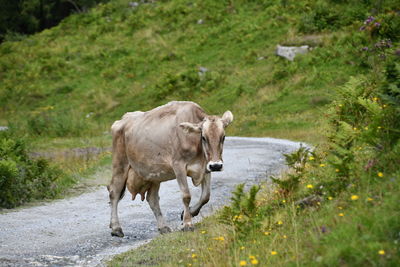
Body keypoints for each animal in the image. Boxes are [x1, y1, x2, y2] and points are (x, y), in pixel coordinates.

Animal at [106, 101, 233, 238]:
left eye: (223, 137)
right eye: (204, 137)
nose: (216, 166)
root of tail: (122, 119)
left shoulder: (205, 167)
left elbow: (206, 196)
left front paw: (189, 213)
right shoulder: (179, 166)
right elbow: (186, 196)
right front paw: (187, 224)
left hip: (154, 174)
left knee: (152, 199)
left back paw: (163, 227)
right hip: (120, 165)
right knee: (114, 192)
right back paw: (116, 228)